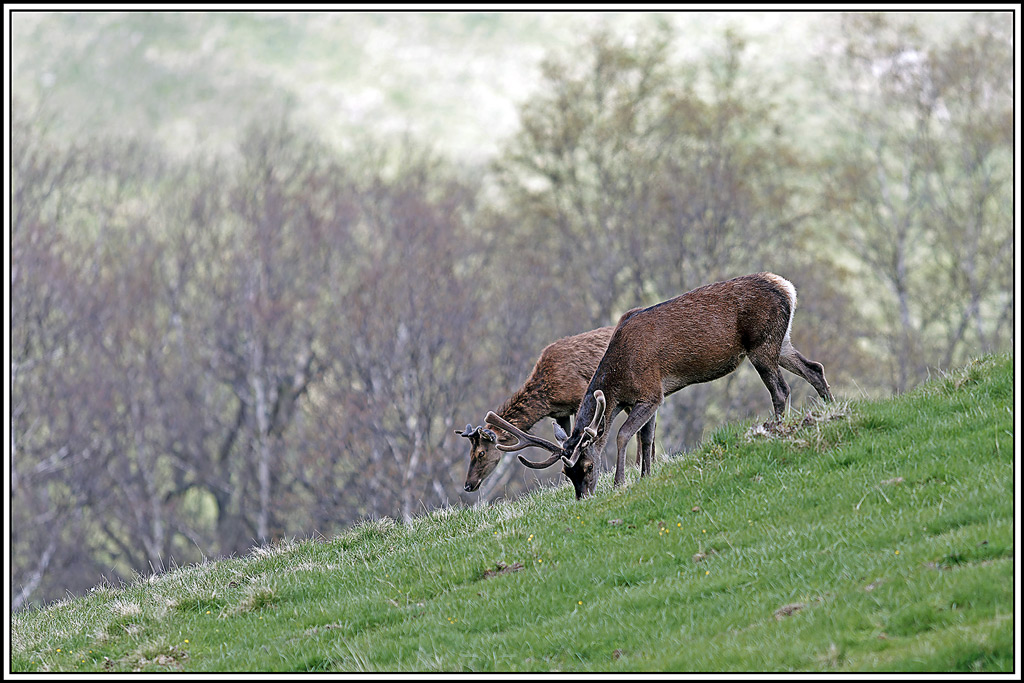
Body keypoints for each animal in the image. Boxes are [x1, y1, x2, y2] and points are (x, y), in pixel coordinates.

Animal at [457, 325, 656, 493]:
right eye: (470, 453)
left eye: (481, 453)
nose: (468, 485)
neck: (548, 397)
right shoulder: (561, 413)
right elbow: (564, 440)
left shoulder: (580, 397)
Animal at [486, 272, 834, 500]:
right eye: (565, 474)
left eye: (587, 466)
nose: (583, 498)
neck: (619, 381)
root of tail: (788, 288)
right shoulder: (646, 398)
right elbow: (647, 438)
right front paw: (646, 476)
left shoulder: (650, 392)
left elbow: (625, 435)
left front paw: (620, 482)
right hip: (781, 342)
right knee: (815, 369)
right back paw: (831, 410)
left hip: (761, 343)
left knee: (781, 389)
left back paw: (778, 428)